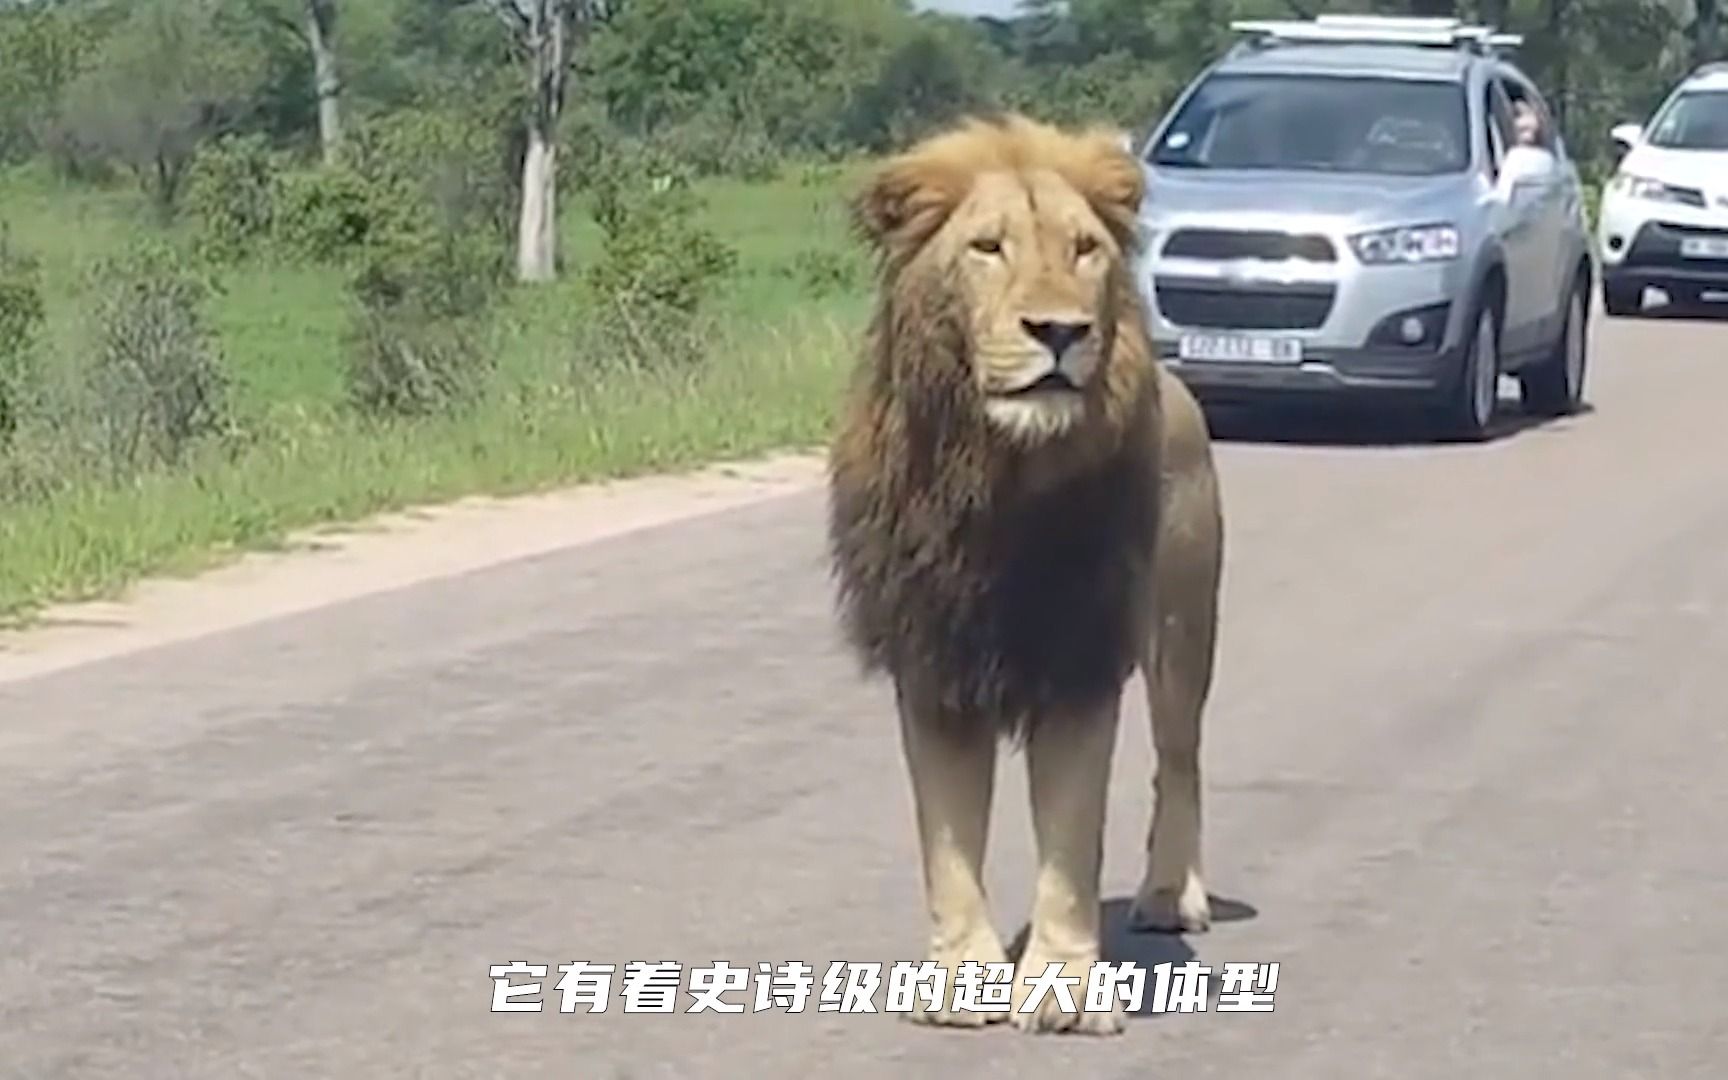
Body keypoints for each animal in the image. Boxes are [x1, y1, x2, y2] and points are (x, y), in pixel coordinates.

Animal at [825, 111, 1223, 1036]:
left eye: (1083, 249)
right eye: (987, 248)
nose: (1060, 332)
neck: (996, 481)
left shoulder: (1079, 660)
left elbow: (1072, 837)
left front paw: (1064, 988)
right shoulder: (933, 665)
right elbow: (946, 836)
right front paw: (957, 980)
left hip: (1183, 631)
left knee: (1179, 759)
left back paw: (1169, 895)